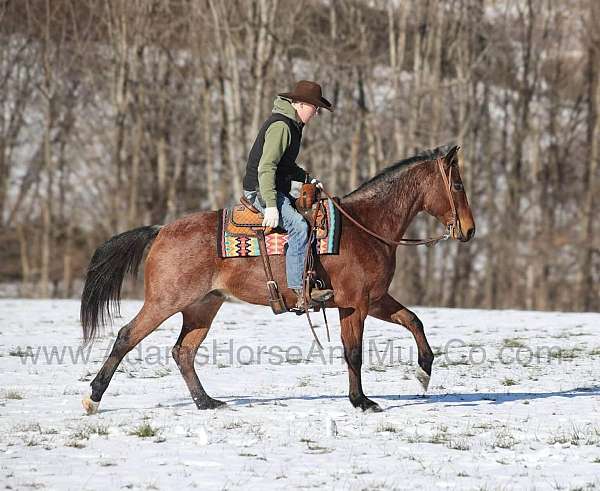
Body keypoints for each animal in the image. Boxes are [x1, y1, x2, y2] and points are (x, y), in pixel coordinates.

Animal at [79, 143, 476, 416]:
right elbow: (354, 352)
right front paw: (361, 401)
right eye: (457, 185)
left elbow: (413, 320)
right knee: (127, 336)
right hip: (166, 301)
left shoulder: (375, 299)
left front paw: (423, 372)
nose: (469, 230)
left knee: (184, 351)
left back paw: (207, 402)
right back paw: (93, 397)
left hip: (202, 306)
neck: (366, 225)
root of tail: (161, 230)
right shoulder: (355, 303)